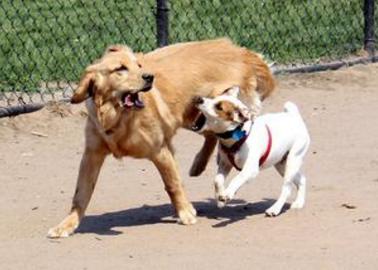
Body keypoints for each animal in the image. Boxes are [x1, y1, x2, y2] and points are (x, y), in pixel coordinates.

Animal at [195, 87, 310, 217]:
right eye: (213, 98)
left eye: (219, 107)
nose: (198, 99)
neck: (238, 135)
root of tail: (294, 116)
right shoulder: (225, 164)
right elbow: (217, 180)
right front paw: (220, 199)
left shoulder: (250, 169)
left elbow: (237, 178)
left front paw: (228, 193)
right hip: (281, 164)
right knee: (302, 179)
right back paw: (299, 203)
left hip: (293, 161)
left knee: (287, 188)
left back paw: (275, 209)